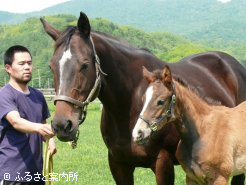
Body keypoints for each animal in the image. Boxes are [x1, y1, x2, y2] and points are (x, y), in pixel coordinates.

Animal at [40, 12, 246, 184]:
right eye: (51, 66)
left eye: (84, 65)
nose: (61, 125)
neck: (128, 104)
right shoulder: (118, 164)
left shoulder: (163, 163)